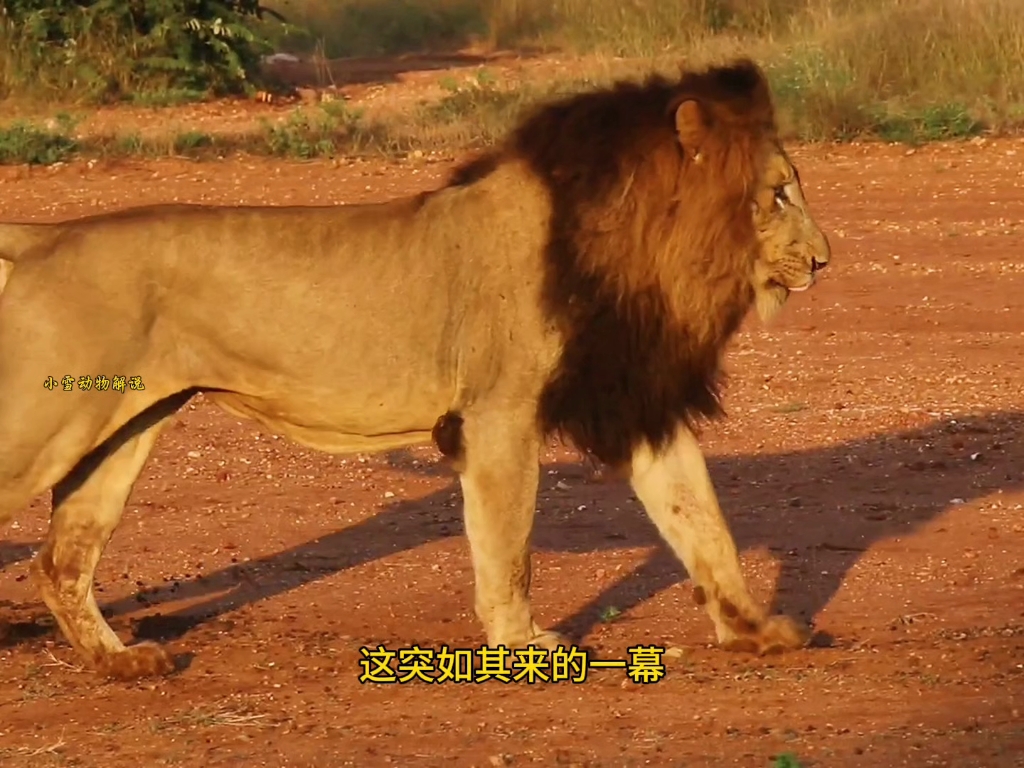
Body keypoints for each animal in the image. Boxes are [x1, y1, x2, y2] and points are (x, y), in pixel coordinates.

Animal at [0, 63, 831, 684]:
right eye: (778, 193)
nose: (826, 260)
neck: (644, 248)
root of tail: (47, 236)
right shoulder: (499, 414)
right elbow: (509, 545)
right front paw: (521, 645)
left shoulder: (633, 400)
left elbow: (703, 522)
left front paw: (755, 630)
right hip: (43, 426)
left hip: (122, 428)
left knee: (60, 560)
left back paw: (121, 662)